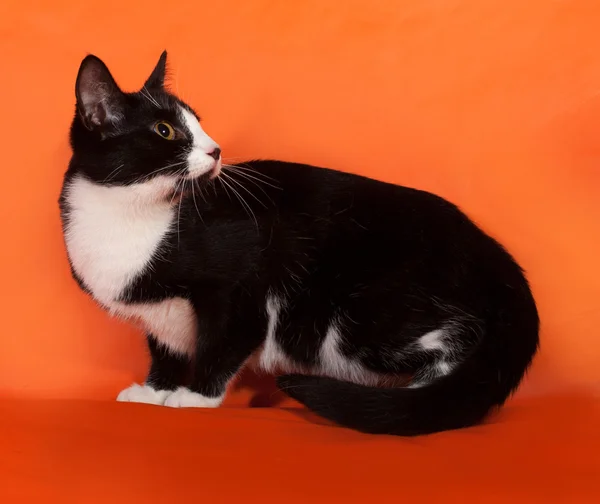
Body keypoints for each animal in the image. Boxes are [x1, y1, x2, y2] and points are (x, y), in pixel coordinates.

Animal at [59, 52, 540, 438]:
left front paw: (195, 398)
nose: (216, 150)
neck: (130, 214)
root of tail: (495, 255)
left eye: (198, 123)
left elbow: (227, 341)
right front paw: (155, 390)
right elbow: (166, 348)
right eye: (164, 130)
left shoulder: (241, 287)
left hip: (356, 317)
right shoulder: (158, 315)